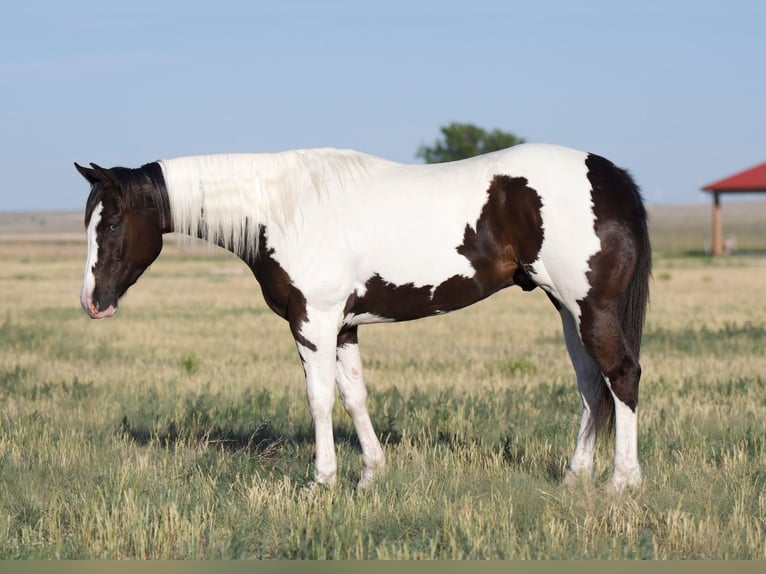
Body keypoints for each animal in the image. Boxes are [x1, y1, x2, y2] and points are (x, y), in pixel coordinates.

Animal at [75, 144, 656, 496]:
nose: (91, 302)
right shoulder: (344, 326)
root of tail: (611, 177)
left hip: (592, 309)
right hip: (568, 310)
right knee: (592, 388)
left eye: (111, 225)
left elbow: (320, 400)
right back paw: (574, 478)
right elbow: (354, 397)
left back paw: (622, 482)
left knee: (622, 376)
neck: (282, 208)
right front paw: (370, 475)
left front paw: (323, 480)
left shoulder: (313, 323)